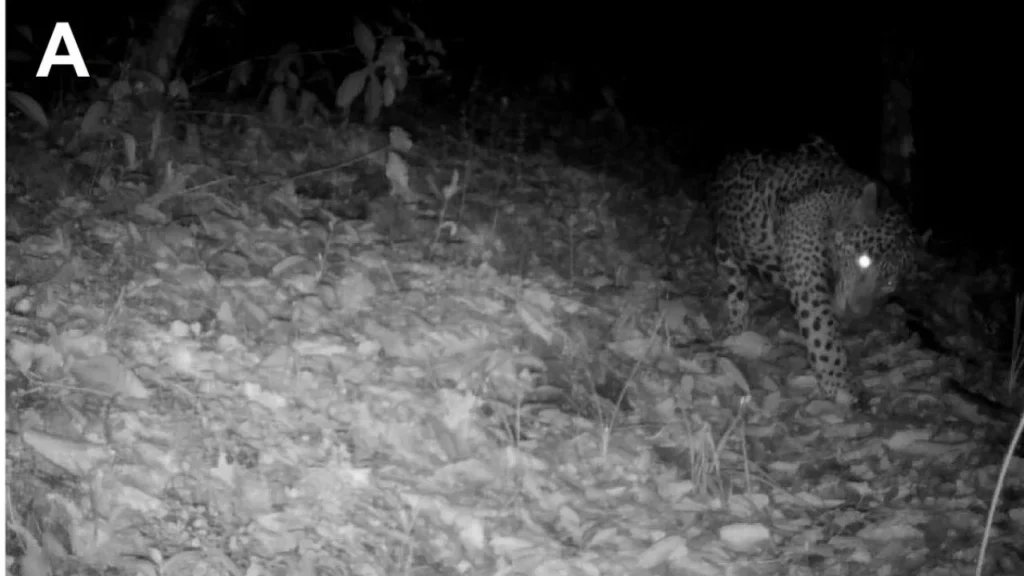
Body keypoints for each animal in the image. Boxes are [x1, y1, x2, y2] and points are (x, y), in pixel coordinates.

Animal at [708, 136, 918, 405]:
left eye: (889, 284)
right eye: (863, 260)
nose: (857, 312)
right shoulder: (809, 283)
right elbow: (824, 332)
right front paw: (840, 385)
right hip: (724, 246)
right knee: (736, 287)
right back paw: (736, 325)